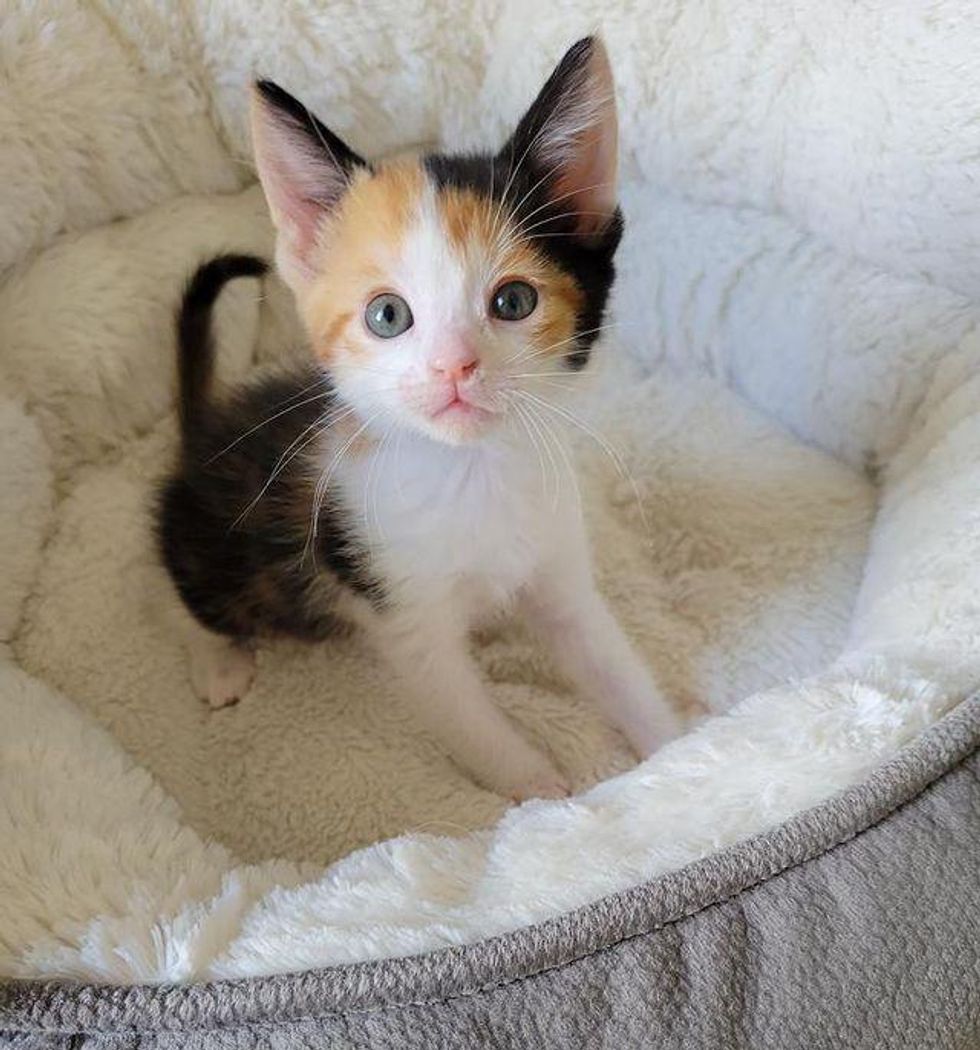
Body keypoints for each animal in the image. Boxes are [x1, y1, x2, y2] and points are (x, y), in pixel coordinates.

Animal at [160, 37, 680, 797]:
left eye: (515, 301)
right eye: (387, 315)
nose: (454, 367)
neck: (470, 472)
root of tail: (201, 430)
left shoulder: (558, 566)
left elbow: (611, 662)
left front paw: (687, 754)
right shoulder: (401, 614)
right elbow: (471, 720)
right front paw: (543, 794)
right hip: (226, 554)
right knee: (183, 591)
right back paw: (217, 660)